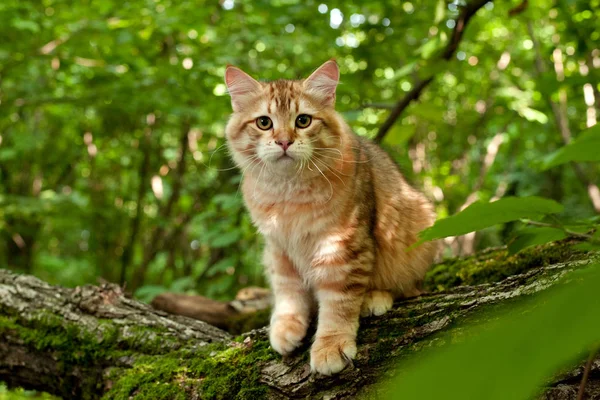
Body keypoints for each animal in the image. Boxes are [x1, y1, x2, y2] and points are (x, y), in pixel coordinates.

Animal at [223, 59, 438, 376]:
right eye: (264, 122)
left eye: (303, 121)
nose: (284, 141)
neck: (288, 194)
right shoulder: (278, 248)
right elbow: (288, 294)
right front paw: (286, 327)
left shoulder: (341, 246)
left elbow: (338, 305)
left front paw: (330, 345)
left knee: (407, 288)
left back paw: (374, 298)